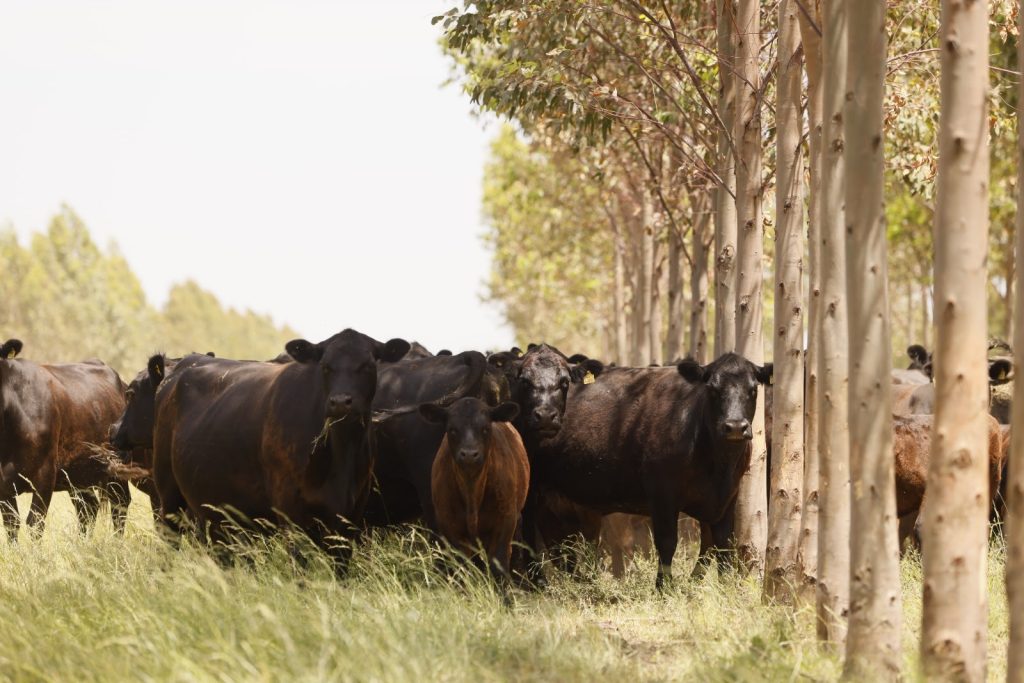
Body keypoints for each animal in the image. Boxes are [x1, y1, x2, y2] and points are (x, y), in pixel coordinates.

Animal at [0, 338, 130, 538]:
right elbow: (11, 526)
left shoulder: (45, 475)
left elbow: (35, 523)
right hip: (79, 473)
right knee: (88, 508)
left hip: (117, 467)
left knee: (120, 505)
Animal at [149, 329, 409, 562]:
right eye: (325, 366)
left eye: (368, 366)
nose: (340, 402)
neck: (340, 454)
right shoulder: (291, 511)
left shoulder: (350, 515)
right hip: (168, 494)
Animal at [420, 398, 528, 582]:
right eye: (452, 429)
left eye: (485, 428)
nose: (470, 454)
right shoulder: (450, 526)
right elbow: (462, 568)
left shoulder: (505, 522)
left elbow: (498, 565)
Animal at [529, 353, 772, 589]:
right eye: (712, 389)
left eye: (753, 389)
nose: (735, 427)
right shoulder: (662, 494)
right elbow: (667, 542)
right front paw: (663, 587)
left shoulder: (727, 497)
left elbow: (723, 543)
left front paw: (726, 586)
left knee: (556, 546)